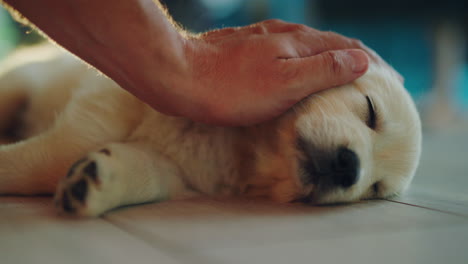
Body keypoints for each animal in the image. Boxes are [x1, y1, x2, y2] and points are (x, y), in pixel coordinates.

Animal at [0, 43, 420, 217]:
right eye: (371, 112)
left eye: (374, 189)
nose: (349, 168)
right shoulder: (111, 101)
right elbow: (47, 158)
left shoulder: (179, 173)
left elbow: (148, 174)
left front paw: (96, 180)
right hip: (19, 81)